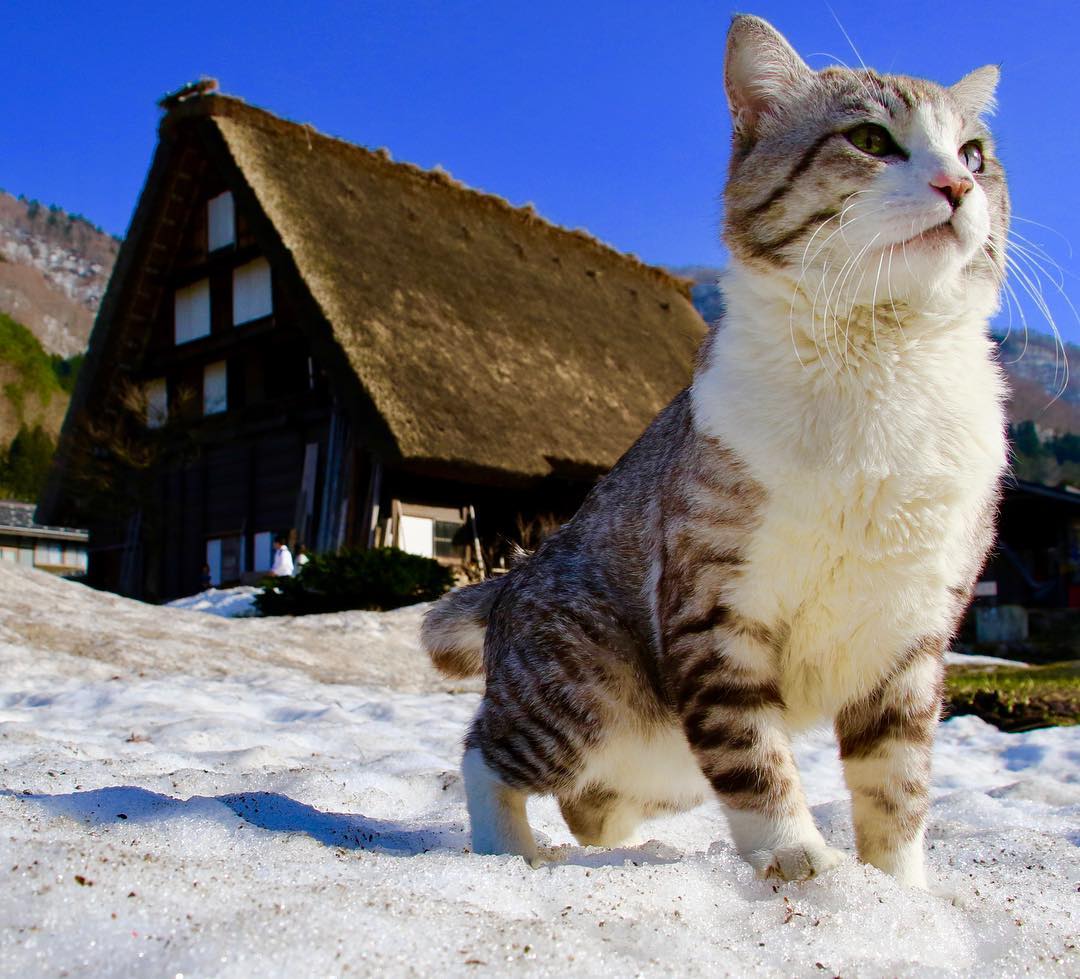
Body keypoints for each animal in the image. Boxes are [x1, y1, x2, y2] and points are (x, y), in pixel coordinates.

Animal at [419, 15, 1002, 890]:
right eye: (870, 139)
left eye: (973, 153)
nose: (958, 187)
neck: (879, 357)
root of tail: (513, 576)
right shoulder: (717, 611)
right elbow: (755, 758)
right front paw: (802, 863)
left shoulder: (911, 632)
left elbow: (897, 782)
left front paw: (896, 897)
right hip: (584, 695)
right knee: (487, 754)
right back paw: (507, 851)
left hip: (660, 765)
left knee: (593, 804)